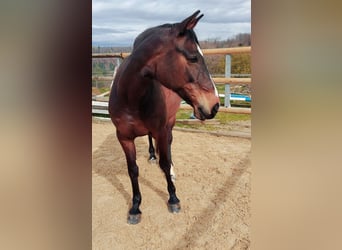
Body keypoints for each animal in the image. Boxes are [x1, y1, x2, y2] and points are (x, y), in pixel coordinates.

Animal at [109, 10, 219, 225]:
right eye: (193, 57)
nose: (215, 105)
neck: (129, 97)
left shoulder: (161, 129)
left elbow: (166, 162)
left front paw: (173, 198)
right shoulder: (124, 137)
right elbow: (133, 170)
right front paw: (135, 207)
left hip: (170, 123)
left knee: (168, 144)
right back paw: (153, 155)